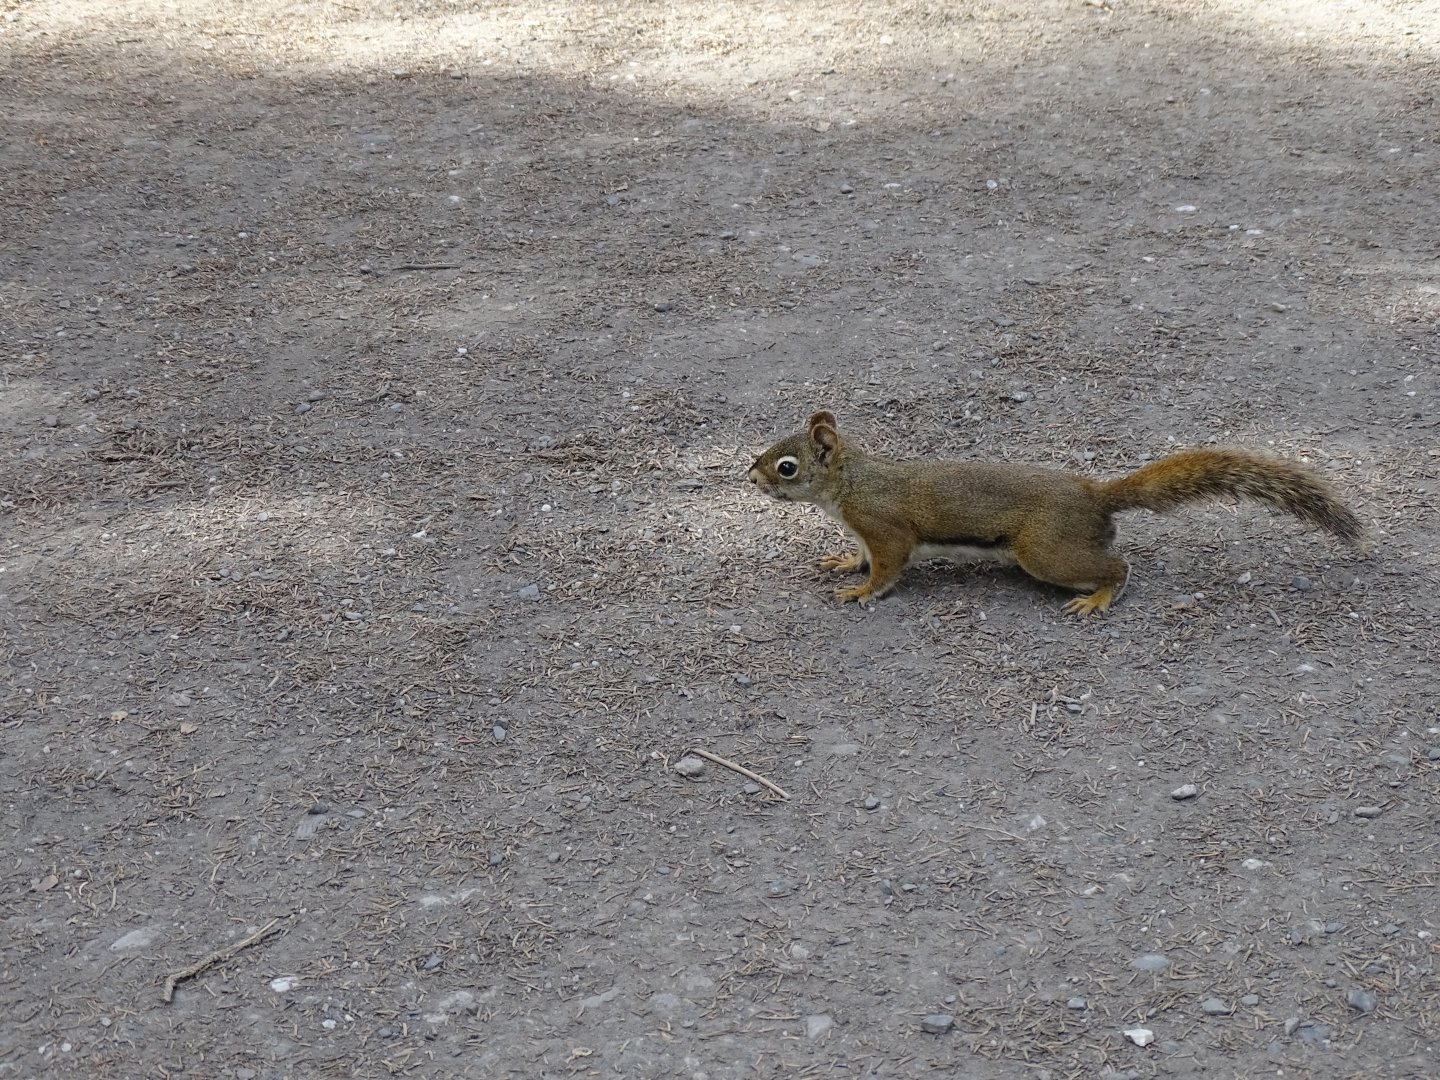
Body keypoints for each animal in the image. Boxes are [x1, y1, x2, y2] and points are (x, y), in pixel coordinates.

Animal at [747, 410, 1366, 614]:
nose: (749, 476)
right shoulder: (862, 533)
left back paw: (1098, 599)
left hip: (1045, 552)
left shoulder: (886, 529)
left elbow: (888, 569)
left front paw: (860, 592)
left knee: (1117, 567)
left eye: (786, 467)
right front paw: (842, 565)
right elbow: (858, 556)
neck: (852, 483)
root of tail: (1094, 496)